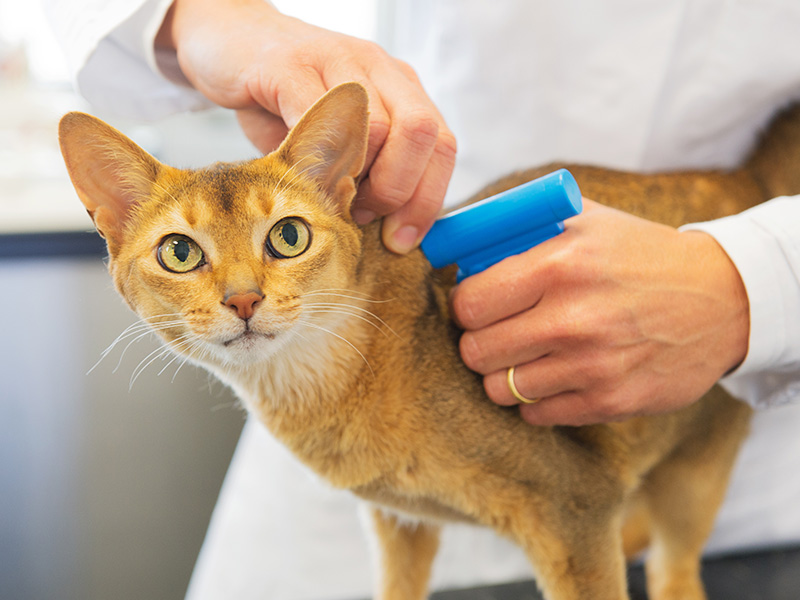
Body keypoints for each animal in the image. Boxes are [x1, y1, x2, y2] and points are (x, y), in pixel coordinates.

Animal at [57, 83, 800, 600]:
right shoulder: (398, 525)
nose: (243, 300)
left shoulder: (575, 509)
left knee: (679, 565)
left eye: (289, 236)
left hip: (700, 457)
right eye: (179, 252)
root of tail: (742, 178)